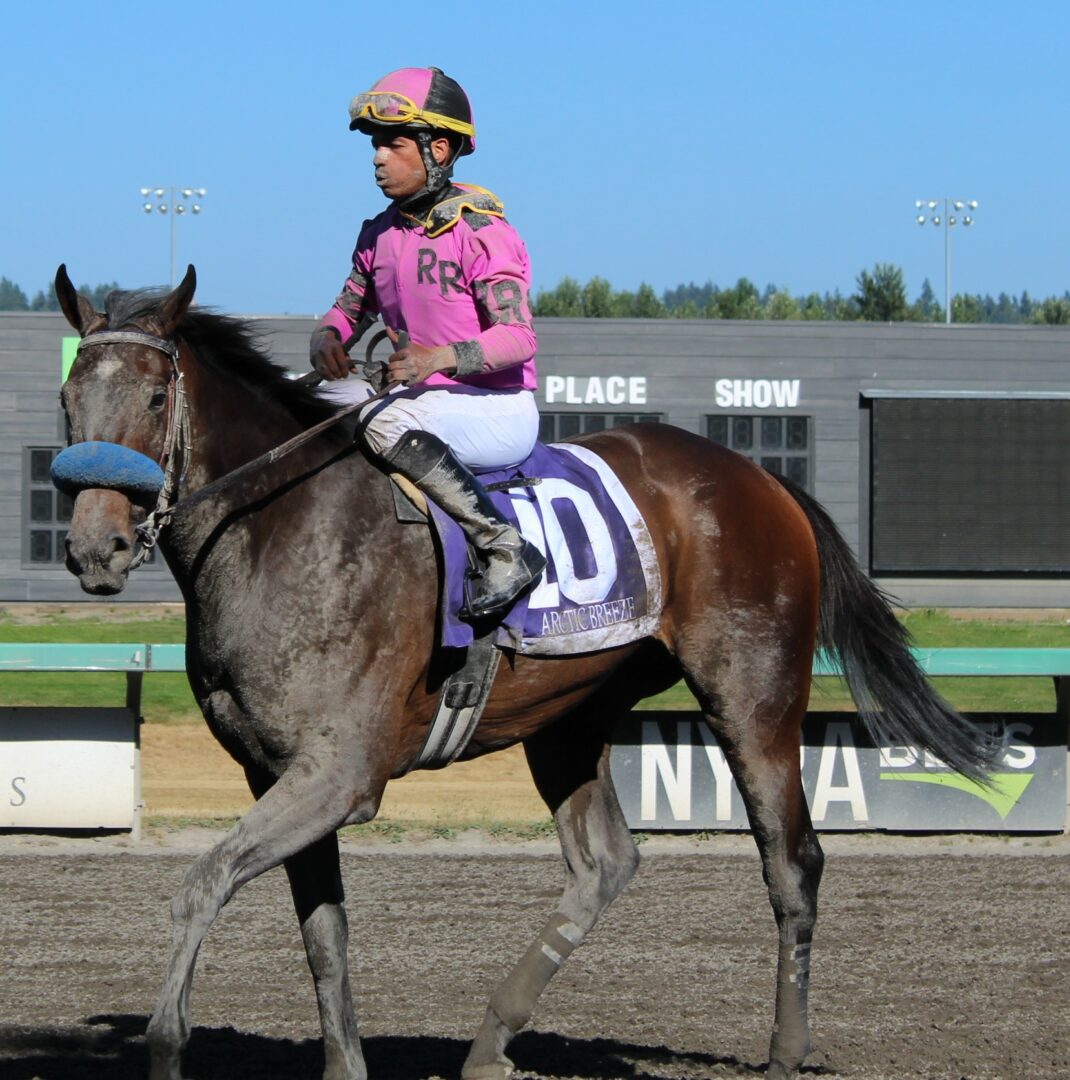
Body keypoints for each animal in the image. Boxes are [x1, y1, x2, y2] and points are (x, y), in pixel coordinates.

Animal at [53, 263, 995, 1080]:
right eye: (68, 400)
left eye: (154, 396)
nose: (97, 549)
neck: (280, 525)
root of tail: (761, 478)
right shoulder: (274, 773)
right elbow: (324, 934)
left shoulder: (339, 774)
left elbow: (200, 885)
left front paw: (167, 1042)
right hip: (569, 716)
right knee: (606, 864)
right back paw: (490, 1038)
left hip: (754, 699)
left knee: (793, 860)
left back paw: (786, 1048)